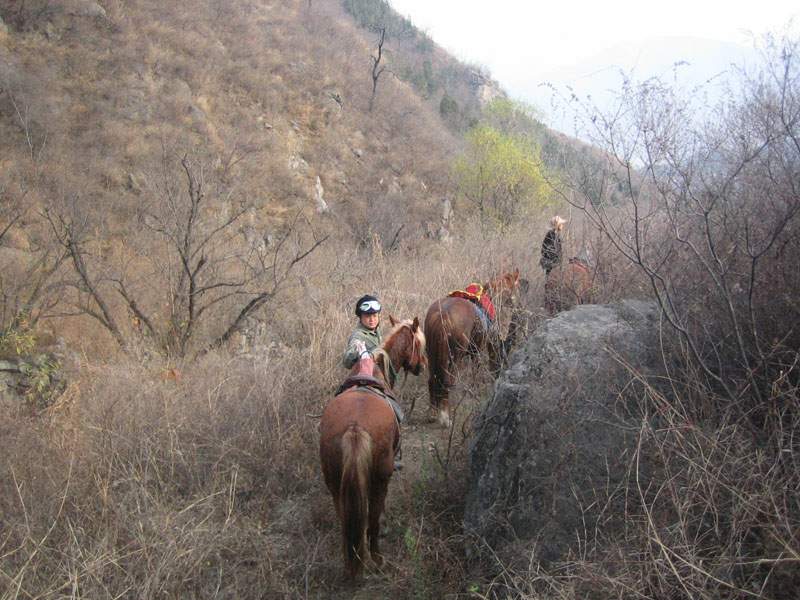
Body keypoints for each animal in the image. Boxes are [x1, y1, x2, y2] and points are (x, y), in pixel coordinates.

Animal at [422, 270, 520, 428]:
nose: (516, 305)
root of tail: (443, 316)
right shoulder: (480, 350)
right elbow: (479, 370)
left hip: (432, 354)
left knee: (432, 380)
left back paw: (432, 413)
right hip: (454, 357)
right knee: (447, 381)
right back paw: (445, 417)